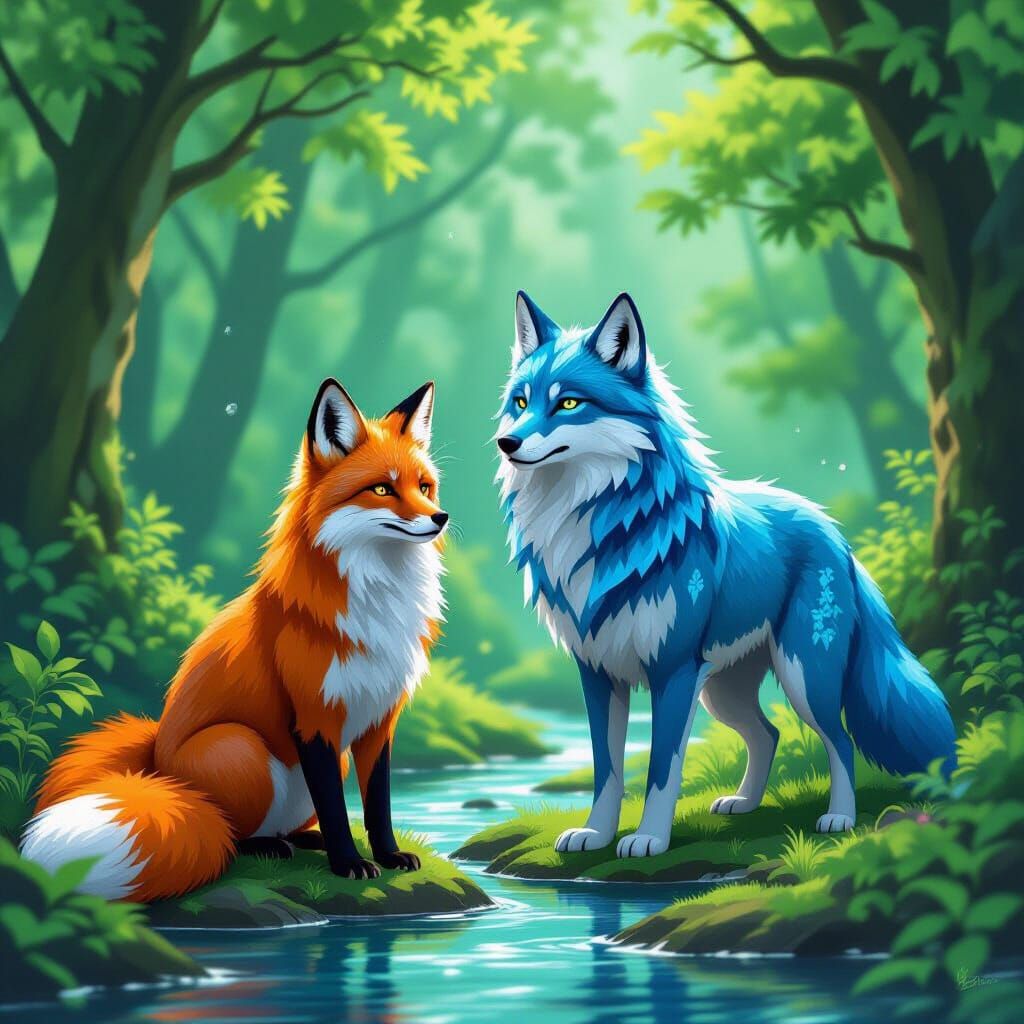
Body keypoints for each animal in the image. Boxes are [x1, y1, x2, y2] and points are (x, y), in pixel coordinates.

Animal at [20, 379, 448, 899]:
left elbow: (378, 804)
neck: (376, 600)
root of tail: (156, 766)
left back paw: (302, 840)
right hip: (241, 746)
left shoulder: (378, 719)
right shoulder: (315, 719)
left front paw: (387, 856)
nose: (441, 517)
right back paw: (267, 846)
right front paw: (349, 863)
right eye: (382, 489)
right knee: (226, 833)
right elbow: (336, 807)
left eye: (424, 487)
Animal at [496, 290, 956, 858]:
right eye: (521, 402)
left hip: (803, 677)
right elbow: (607, 771)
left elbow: (661, 770)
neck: (598, 529)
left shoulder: (672, 671)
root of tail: (833, 530)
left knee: (841, 741)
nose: (506, 442)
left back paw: (840, 819)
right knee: (768, 734)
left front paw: (649, 838)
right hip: (722, 693)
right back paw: (745, 803)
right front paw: (596, 834)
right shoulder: (597, 673)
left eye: (568, 404)